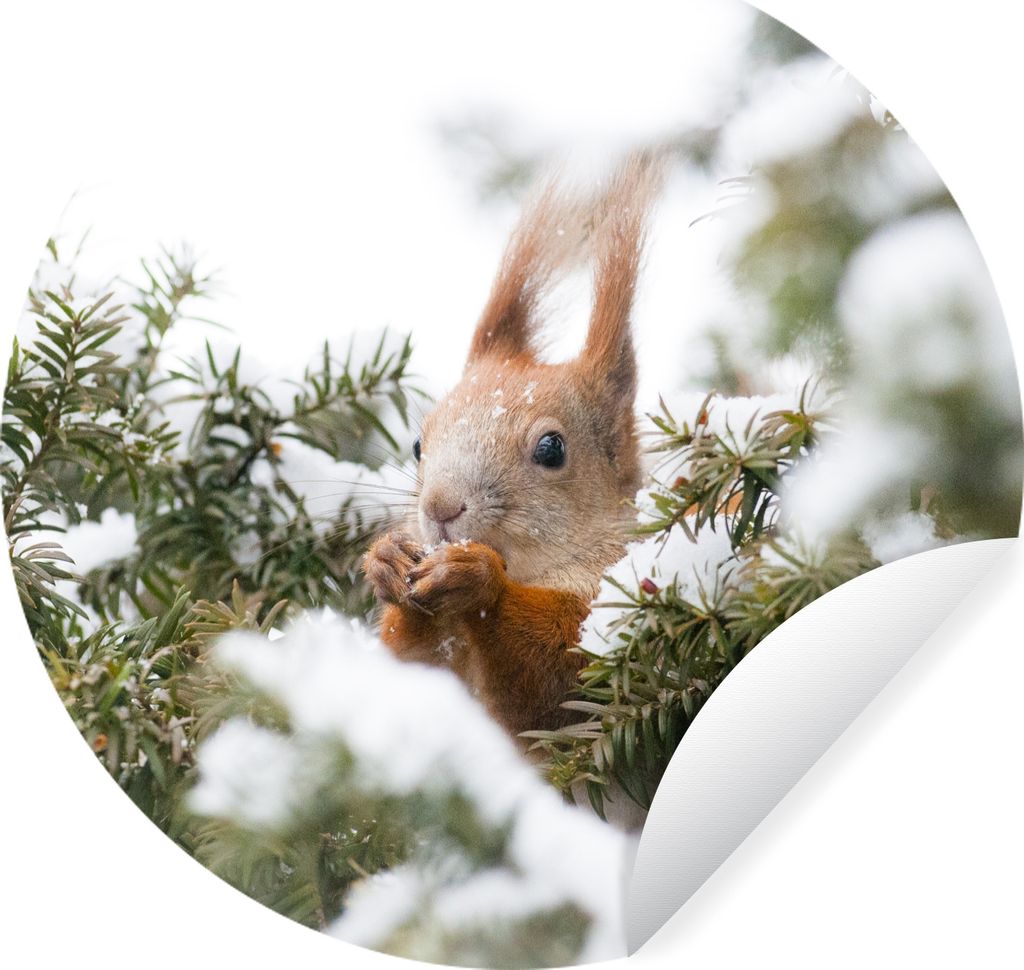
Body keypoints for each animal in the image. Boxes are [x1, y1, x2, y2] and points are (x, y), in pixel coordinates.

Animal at [363, 157, 660, 737]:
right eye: (417, 443)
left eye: (551, 449)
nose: (439, 509)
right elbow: (412, 669)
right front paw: (385, 559)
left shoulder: (615, 608)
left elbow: (557, 681)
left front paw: (477, 579)